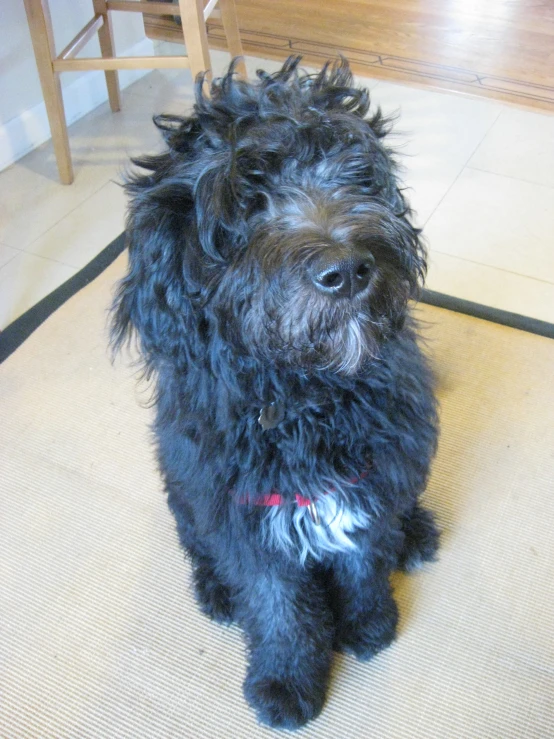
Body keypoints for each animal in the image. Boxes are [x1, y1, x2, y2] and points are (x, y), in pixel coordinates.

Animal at [112, 57, 438, 728]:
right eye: (247, 202)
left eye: (351, 171)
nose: (349, 269)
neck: (305, 401)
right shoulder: (243, 516)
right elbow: (276, 605)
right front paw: (287, 682)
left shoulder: (371, 479)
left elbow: (365, 562)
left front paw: (369, 626)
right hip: (183, 493)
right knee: (199, 548)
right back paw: (215, 592)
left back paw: (416, 533)